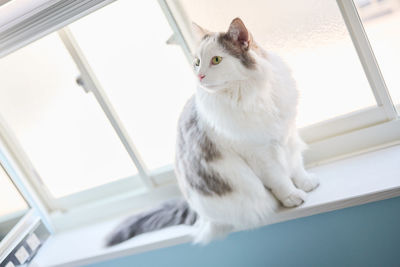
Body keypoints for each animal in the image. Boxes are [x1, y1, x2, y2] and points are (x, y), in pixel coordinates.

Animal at [105, 16, 318, 247]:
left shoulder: (287, 134)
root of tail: (197, 211)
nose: (199, 76)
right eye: (197, 62)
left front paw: (306, 183)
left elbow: (295, 165)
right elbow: (279, 179)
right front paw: (292, 197)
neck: (256, 94)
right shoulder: (258, 154)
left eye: (216, 60)